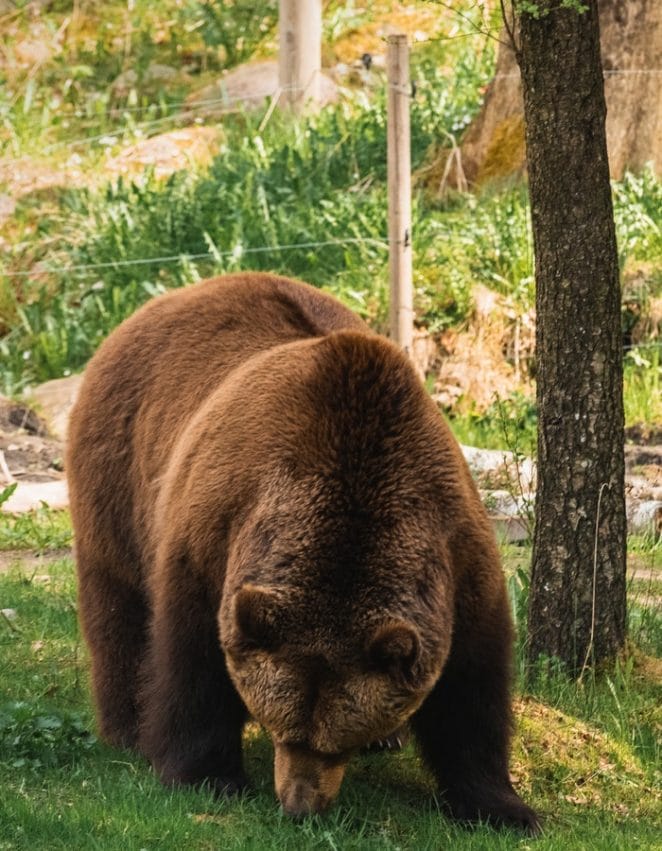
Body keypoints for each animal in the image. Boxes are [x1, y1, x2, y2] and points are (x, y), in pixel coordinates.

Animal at [66, 276, 540, 836]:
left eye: (337, 744)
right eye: (285, 731)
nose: (300, 806)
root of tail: (175, 296)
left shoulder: (456, 556)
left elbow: (471, 693)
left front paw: (503, 807)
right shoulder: (213, 538)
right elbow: (192, 664)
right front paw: (206, 774)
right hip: (121, 470)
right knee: (118, 604)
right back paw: (126, 725)